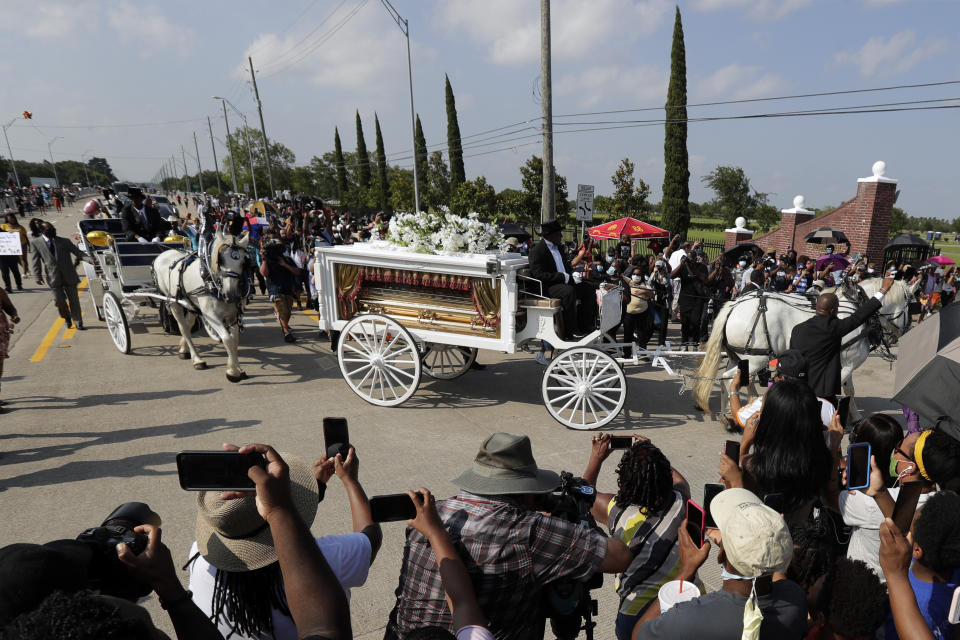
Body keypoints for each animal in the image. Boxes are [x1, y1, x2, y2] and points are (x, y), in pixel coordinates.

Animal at [154, 229, 251, 382]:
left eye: (243, 261)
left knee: (188, 323)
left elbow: (234, 340)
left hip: (191, 303)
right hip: (174, 302)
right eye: (220, 260)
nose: (232, 295)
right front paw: (233, 372)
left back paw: (183, 349)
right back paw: (197, 360)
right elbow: (227, 339)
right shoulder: (211, 315)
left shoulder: (234, 315)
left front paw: (238, 368)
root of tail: (162, 255)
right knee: (183, 328)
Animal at [692, 278, 912, 418]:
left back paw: (727, 414)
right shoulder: (848, 363)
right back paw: (733, 415)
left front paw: (855, 416)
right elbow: (835, 391)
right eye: (910, 303)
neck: (857, 307)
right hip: (756, 359)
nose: (907, 329)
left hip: (738, 356)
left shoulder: (845, 362)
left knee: (727, 379)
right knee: (730, 379)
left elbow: (849, 390)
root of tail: (734, 305)